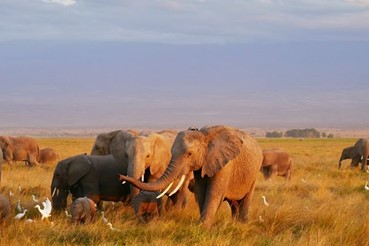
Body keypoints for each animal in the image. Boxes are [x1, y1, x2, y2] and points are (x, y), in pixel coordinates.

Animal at [119, 126, 264, 228]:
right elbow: (201, 192)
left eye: (189, 154)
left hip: (255, 170)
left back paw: (242, 224)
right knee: (234, 204)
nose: (120, 177)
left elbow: (214, 193)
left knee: (245, 199)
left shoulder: (225, 164)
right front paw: (202, 225)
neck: (204, 135)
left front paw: (204, 227)